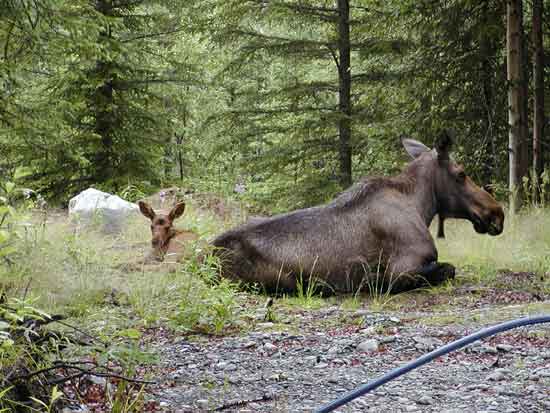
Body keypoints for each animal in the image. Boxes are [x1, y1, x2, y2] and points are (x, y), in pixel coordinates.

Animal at [213, 133, 506, 292]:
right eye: (461, 174)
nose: (497, 212)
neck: (421, 206)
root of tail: (208, 257)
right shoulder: (404, 268)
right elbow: (448, 269)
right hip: (281, 280)